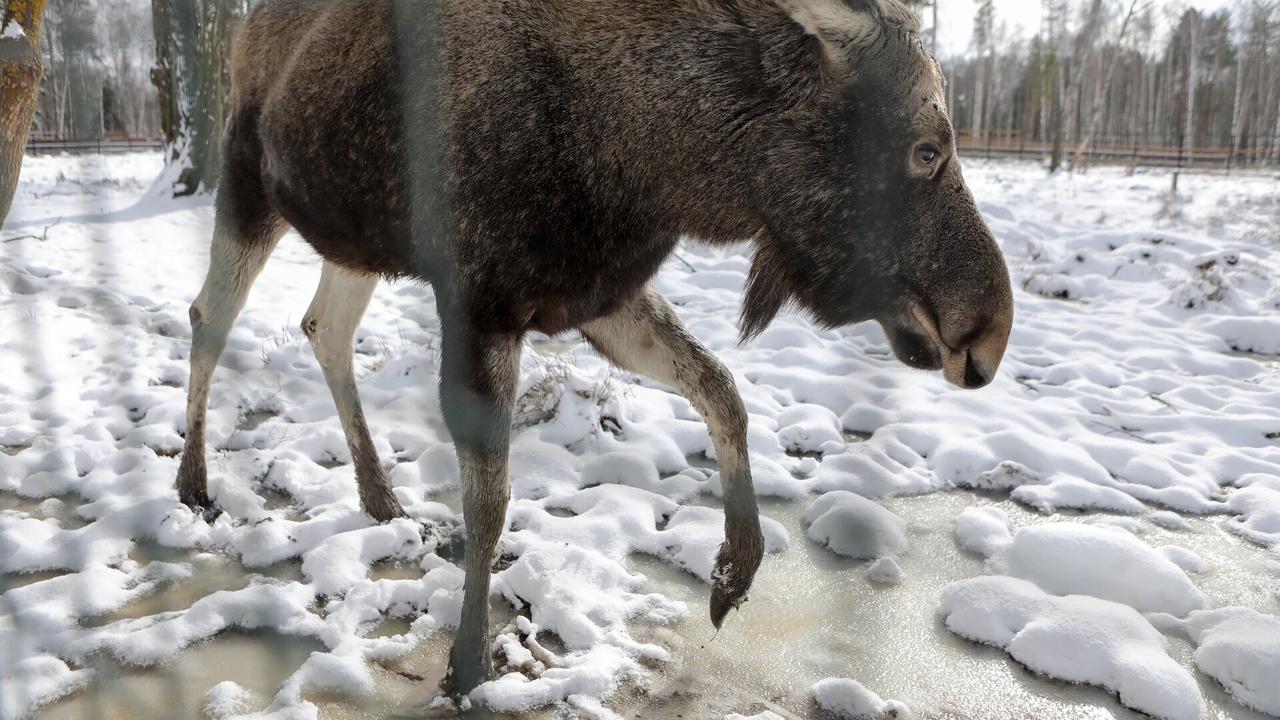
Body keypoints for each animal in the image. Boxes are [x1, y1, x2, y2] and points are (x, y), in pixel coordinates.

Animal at [175, 0, 1008, 702]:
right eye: (926, 148)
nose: (989, 336)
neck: (646, 158)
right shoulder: (481, 304)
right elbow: (490, 503)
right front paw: (467, 664)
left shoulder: (600, 296)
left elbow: (721, 388)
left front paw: (734, 570)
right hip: (247, 186)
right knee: (208, 316)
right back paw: (194, 481)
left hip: (351, 242)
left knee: (324, 328)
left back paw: (378, 493)